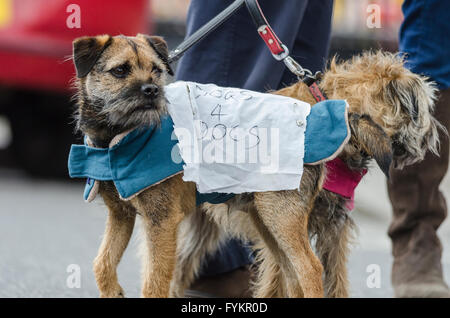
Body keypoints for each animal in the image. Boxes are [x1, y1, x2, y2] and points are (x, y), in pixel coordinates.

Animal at [72, 34, 442, 298]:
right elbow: (106, 264)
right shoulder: (132, 216)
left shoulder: (330, 227)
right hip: (266, 220)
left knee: (306, 270)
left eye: (155, 71)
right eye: (423, 109)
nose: (435, 137)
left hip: (274, 218)